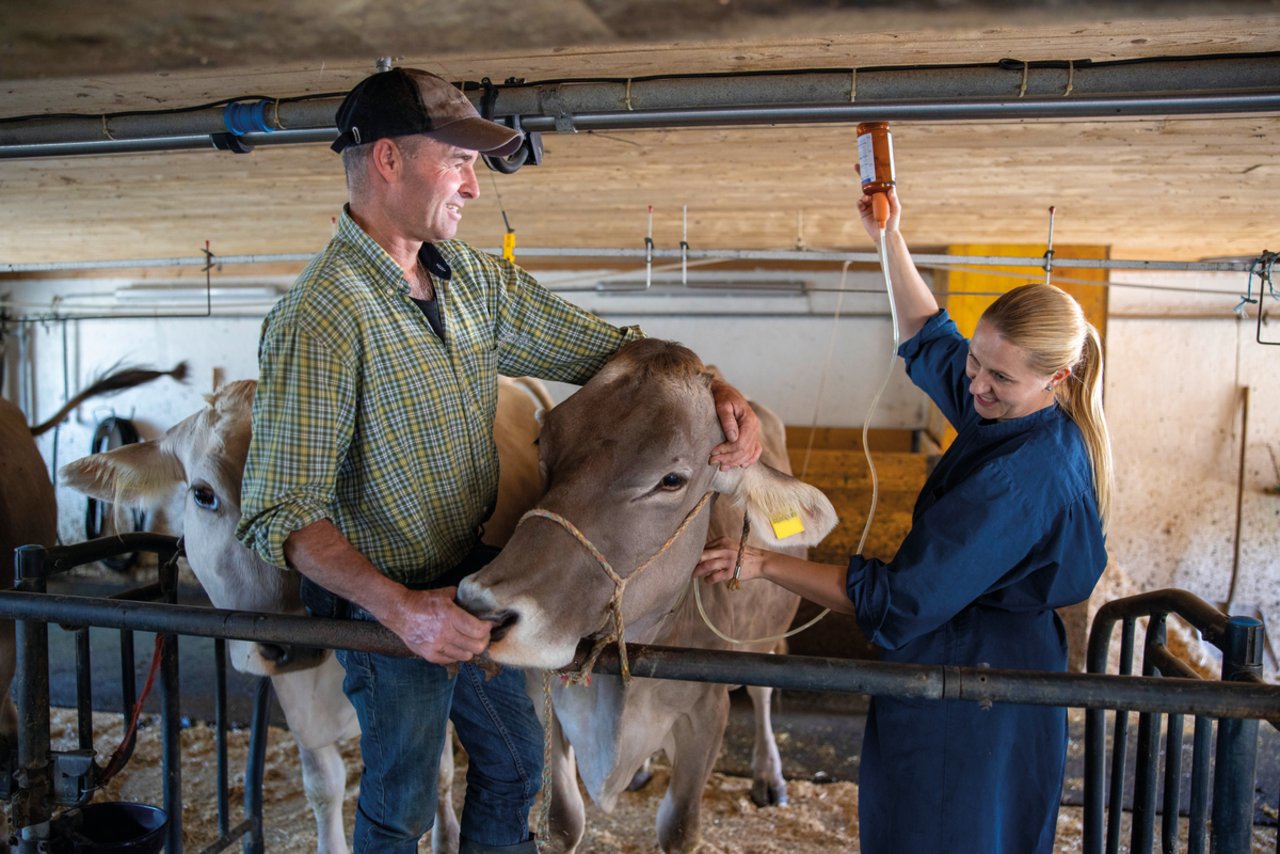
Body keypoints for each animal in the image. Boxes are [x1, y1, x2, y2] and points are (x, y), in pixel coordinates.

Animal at [460, 340, 839, 854]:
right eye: (543, 444)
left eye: (672, 480)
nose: (485, 605)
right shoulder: (545, 702)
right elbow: (563, 821)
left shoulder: (706, 714)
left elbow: (678, 827)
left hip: (762, 640)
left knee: (762, 690)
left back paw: (768, 777)